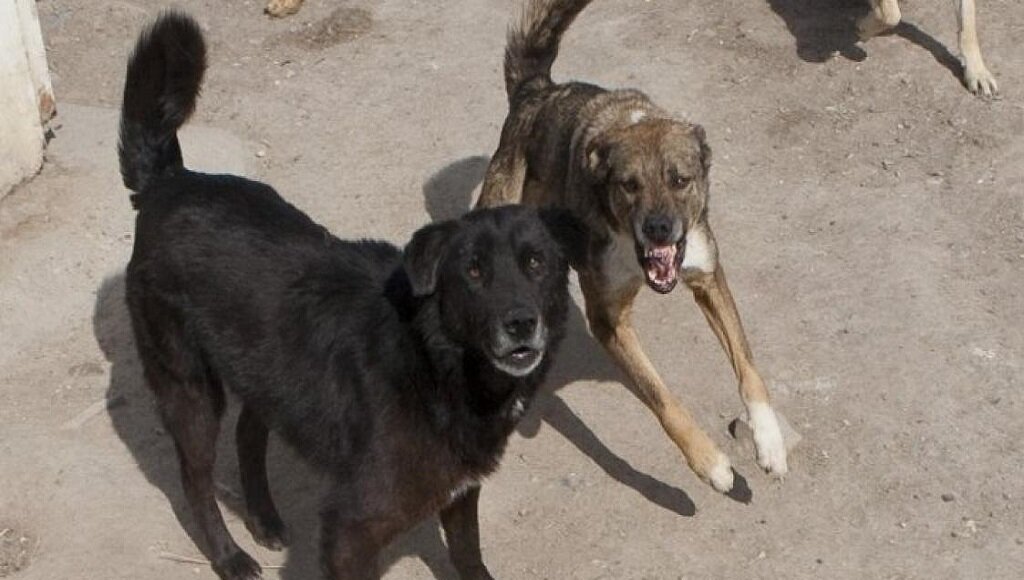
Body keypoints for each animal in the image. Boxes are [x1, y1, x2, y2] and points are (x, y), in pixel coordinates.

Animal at [119, 13, 585, 580]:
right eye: (473, 272)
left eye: (536, 263)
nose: (520, 323)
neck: (434, 361)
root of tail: (168, 182)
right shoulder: (351, 530)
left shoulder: (459, 493)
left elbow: (470, 556)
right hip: (188, 387)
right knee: (196, 477)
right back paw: (229, 555)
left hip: (266, 370)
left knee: (249, 432)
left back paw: (264, 518)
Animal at [479, 0, 790, 498]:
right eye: (629, 185)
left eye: (680, 179)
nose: (659, 229)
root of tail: (536, 90)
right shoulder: (609, 320)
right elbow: (663, 399)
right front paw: (710, 463)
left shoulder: (708, 276)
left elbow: (748, 367)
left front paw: (769, 441)